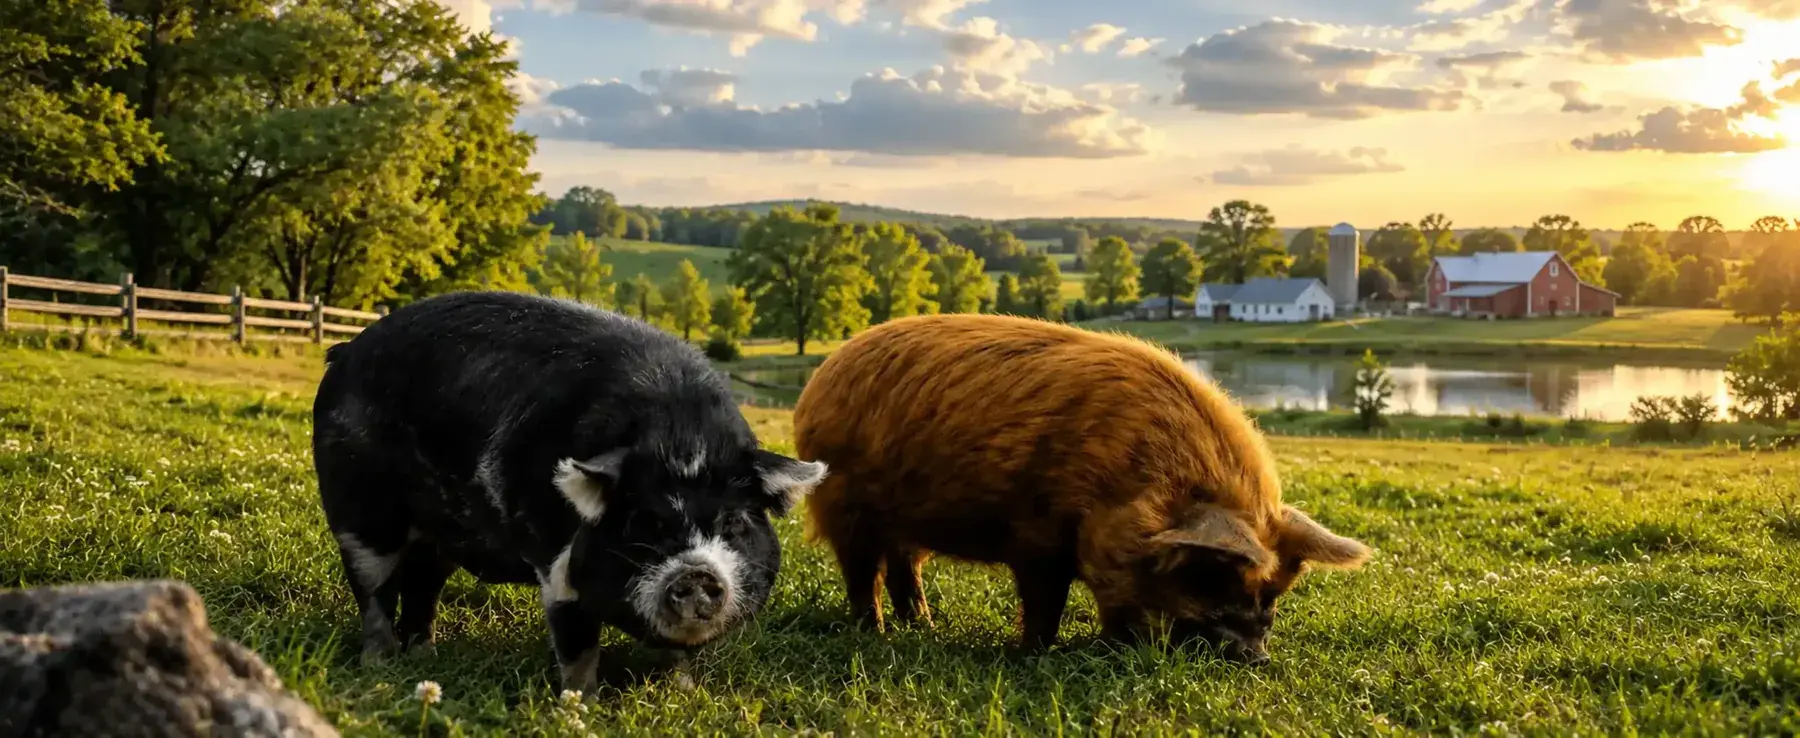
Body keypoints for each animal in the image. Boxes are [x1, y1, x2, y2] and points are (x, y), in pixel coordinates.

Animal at [310, 291, 827, 693]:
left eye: (735, 523)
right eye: (643, 522)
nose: (697, 573)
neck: (683, 440)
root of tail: (346, 350)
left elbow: (678, 656)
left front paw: (684, 693)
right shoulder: (558, 569)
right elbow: (577, 646)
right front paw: (582, 705)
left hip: (438, 537)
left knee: (422, 588)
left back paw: (425, 659)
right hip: (359, 514)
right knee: (374, 590)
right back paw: (379, 665)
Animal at [793, 313, 1371, 664]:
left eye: (1273, 593)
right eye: (1212, 575)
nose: (1256, 659)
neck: (1127, 483)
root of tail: (821, 376)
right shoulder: (1037, 537)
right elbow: (1044, 601)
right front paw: (1033, 655)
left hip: (904, 523)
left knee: (903, 568)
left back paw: (926, 626)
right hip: (844, 504)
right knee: (862, 574)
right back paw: (877, 633)